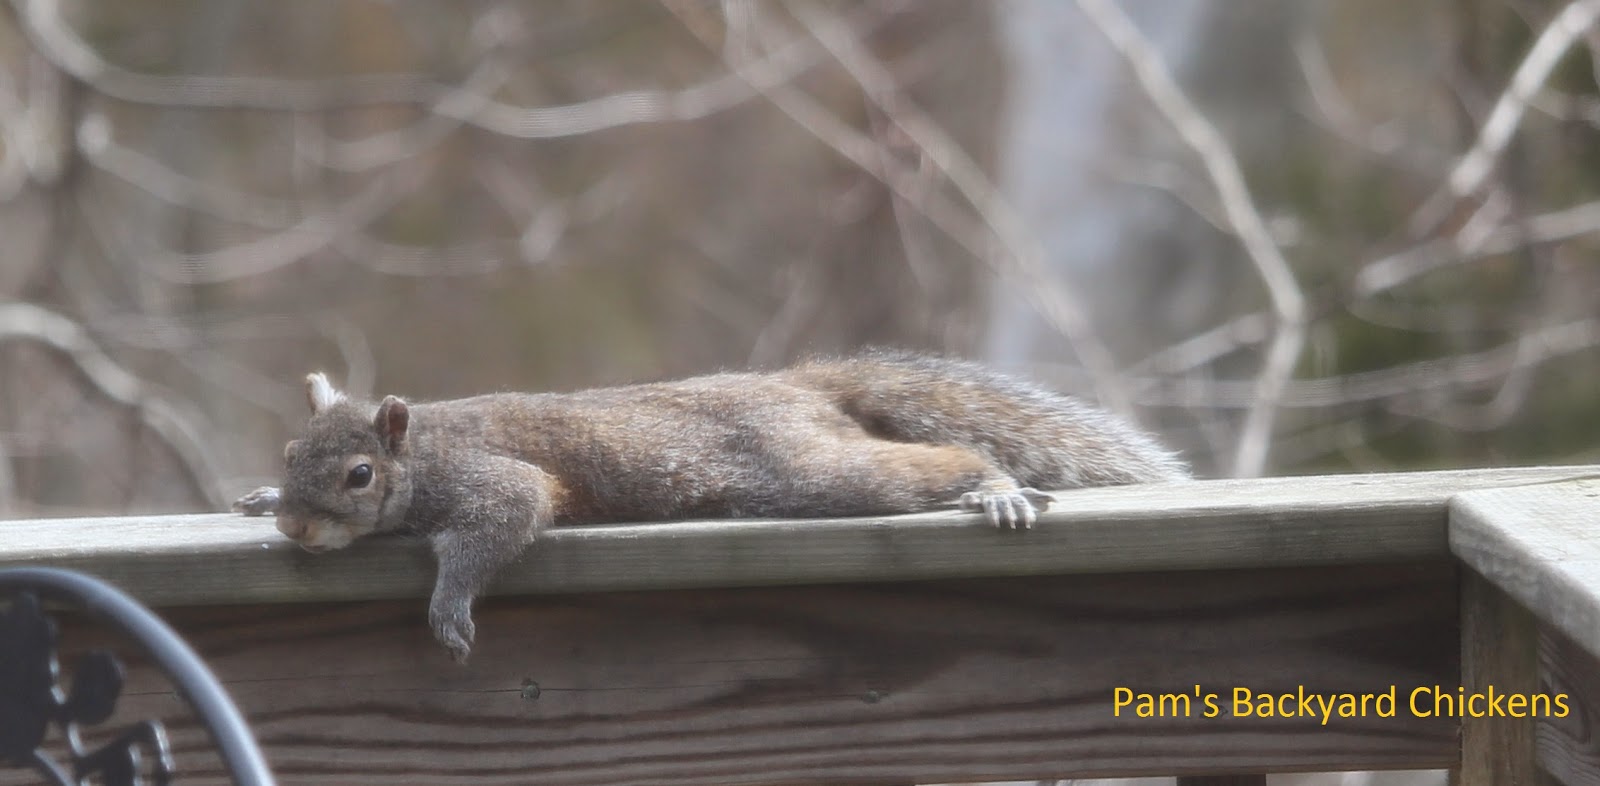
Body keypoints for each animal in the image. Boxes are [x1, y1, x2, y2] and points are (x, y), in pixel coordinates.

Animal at [233, 351, 1188, 661]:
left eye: (360, 476)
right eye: (290, 454)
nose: (296, 526)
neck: (422, 447)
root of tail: (797, 385)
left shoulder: (490, 479)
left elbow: (501, 521)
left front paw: (450, 608)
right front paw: (255, 498)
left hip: (806, 471)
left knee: (925, 466)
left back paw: (992, 488)